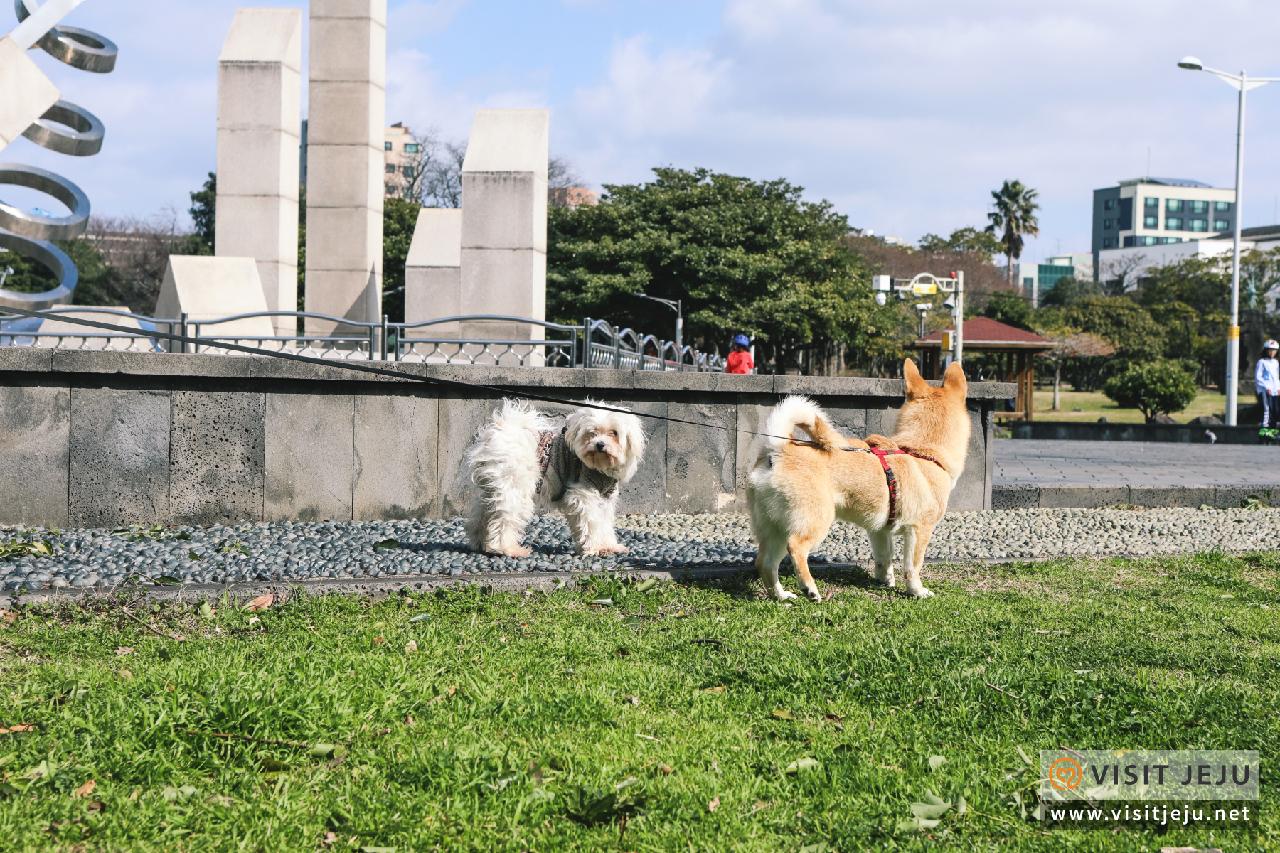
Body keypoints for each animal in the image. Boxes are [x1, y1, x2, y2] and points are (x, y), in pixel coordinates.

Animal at [463, 399, 645, 558]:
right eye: (591, 433)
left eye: (614, 433)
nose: (599, 444)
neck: (598, 468)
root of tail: (498, 433)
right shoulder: (582, 496)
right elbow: (590, 523)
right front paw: (594, 548)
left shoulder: (605, 499)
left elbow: (605, 524)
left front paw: (610, 546)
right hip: (515, 488)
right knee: (504, 519)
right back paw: (508, 549)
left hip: (495, 488)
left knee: (485, 513)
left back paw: (480, 543)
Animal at [747, 356, 962, 596]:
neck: (920, 451)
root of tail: (778, 449)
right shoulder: (919, 530)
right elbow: (913, 566)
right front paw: (917, 591)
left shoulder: (880, 531)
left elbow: (884, 558)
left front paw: (885, 580)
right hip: (815, 519)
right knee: (796, 547)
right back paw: (810, 588)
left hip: (774, 526)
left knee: (765, 563)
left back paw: (781, 595)